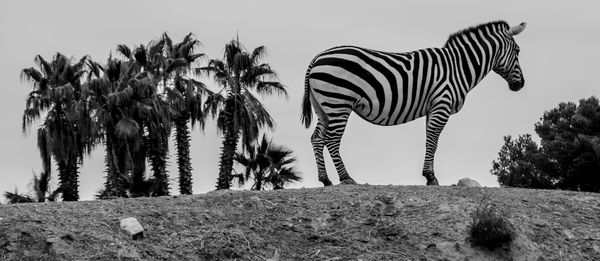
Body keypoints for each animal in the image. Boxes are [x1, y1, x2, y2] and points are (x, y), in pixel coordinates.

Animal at [300, 21, 524, 186]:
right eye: (518, 51)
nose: (520, 85)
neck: (458, 67)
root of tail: (317, 58)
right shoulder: (442, 104)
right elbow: (433, 140)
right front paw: (431, 178)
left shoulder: (433, 108)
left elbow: (430, 140)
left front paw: (429, 174)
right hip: (339, 102)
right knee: (332, 139)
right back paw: (346, 178)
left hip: (324, 107)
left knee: (317, 138)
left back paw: (325, 180)